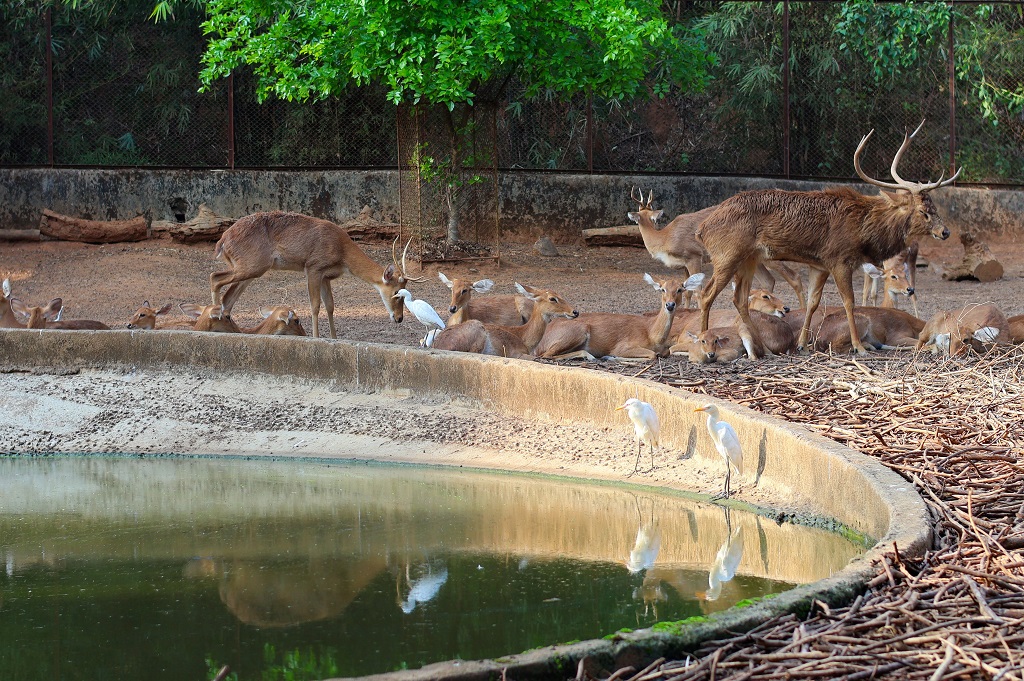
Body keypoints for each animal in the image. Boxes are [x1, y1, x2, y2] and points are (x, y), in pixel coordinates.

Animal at [210, 211, 424, 339]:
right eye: (396, 292)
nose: (399, 318)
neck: (342, 253)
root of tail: (222, 242)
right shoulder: (313, 267)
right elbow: (315, 306)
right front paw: (316, 337)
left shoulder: (326, 276)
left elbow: (330, 306)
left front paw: (334, 338)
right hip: (252, 265)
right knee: (215, 277)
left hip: (249, 269)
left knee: (228, 296)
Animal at [430, 284, 578, 359]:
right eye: (552, 298)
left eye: (560, 295)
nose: (575, 311)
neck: (524, 337)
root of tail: (439, 344)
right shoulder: (515, 353)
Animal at [534, 273, 701, 361]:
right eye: (662, 289)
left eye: (680, 289)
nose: (670, 305)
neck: (652, 335)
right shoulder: (624, 345)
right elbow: (652, 355)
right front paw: (611, 356)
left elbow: (662, 352)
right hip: (577, 329)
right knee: (546, 355)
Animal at [627, 188, 807, 308]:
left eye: (653, 218)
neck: (665, 238)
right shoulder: (684, 264)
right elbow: (687, 291)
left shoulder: (694, 256)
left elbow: (697, 291)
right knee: (769, 280)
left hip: (770, 254)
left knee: (794, 276)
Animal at [695, 121, 958, 357]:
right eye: (924, 211)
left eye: (935, 207)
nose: (945, 232)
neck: (864, 230)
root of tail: (702, 229)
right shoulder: (838, 259)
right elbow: (849, 301)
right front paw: (859, 347)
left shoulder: (818, 264)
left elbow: (813, 302)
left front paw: (802, 345)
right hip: (727, 255)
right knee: (706, 294)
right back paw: (703, 341)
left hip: (748, 260)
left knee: (738, 299)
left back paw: (764, 349)